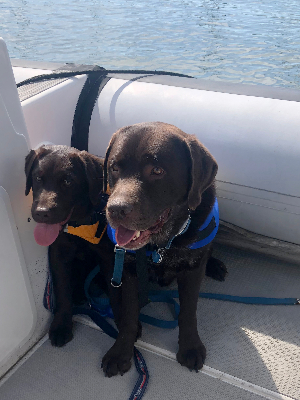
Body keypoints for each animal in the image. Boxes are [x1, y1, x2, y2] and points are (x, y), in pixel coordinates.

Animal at [24, 145, 111, 346]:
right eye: (37, 178)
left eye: (68, 181)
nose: (42, 213)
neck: (79, 224)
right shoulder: (58, 254)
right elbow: (62, 290)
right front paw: (61, 325)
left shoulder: (108, 255)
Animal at [102, 120, 226, 376]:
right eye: (114, 168)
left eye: (157, 171)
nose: (116, 209)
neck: (161, 245)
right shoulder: (129, 270)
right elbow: (128, 316)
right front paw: (121, 351)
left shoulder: (192, 270)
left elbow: (188, 312)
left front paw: (190, 347)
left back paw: (215, 265)